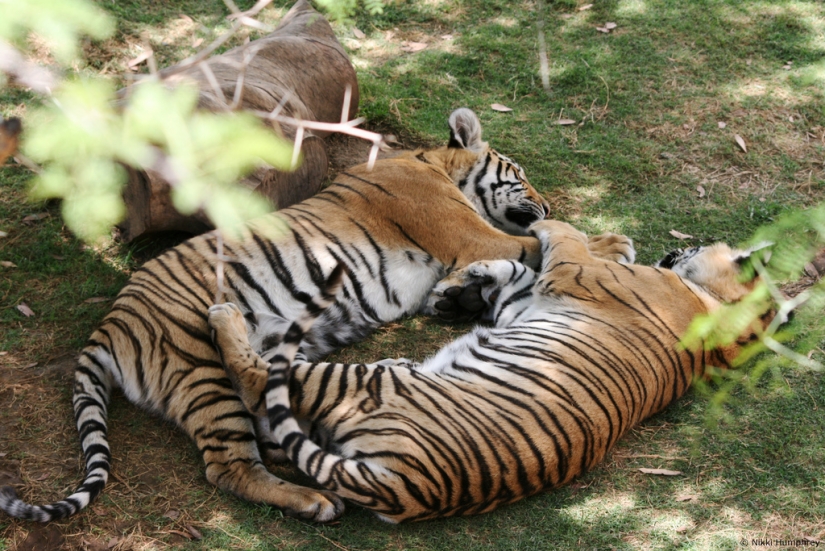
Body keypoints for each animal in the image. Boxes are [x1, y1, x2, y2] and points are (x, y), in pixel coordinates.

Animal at [0, 106, 560, 520]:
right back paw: (314, 501)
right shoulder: (472, 235)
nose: (549, 205)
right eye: (522, 176)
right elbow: (533, 245)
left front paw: (458, 298)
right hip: (200, 368)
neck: (432, 163)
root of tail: (108, 324)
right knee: (229, 465)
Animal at [203, 220, 768, 520]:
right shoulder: (525, 305)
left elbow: (559, 235)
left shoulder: (572, 272)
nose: (682, 243)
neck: (717, 318)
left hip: (358, 384)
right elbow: (515, 270)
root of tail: (402, 486)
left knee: (262, 380)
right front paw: (467, 284)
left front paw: (530, 230)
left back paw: (227, 316)